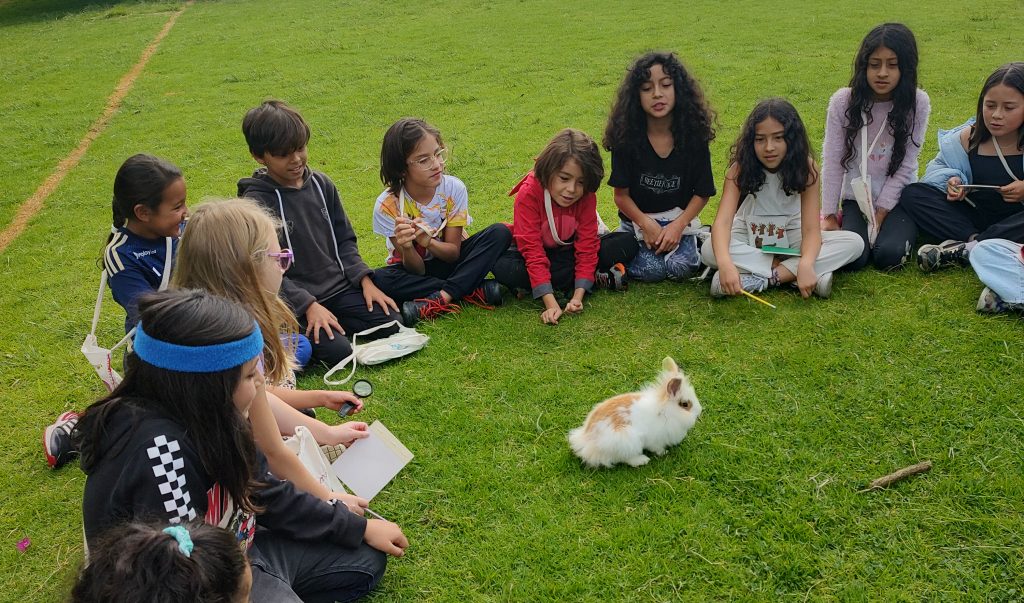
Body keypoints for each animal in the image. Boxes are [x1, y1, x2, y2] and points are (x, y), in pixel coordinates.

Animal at [569, 354, 704, 468]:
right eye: (685, 404)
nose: (699, 411)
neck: (665, 412)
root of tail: (585, 442)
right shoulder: (655, 440)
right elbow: (657, 448)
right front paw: (664, 452)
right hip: (626, 442)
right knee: (624, 459)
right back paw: (642, 460)